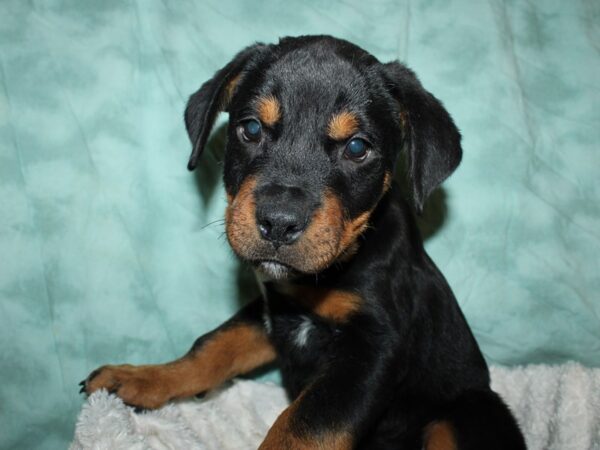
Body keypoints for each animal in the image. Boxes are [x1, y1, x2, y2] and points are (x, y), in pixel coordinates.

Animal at [83, 36, 524, 450]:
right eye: (251, 128)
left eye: (357, 147)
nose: (278, 223)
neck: (327, 275)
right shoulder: (273, 312)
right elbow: (212, 345)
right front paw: (140, 377)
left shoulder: (373, 350)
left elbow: (303, 425)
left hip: (466, 412)